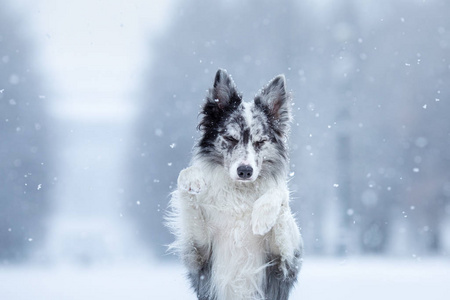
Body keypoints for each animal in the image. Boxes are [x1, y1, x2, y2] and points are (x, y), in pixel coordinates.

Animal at [168, 69, 302, 298]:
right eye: (230, 138)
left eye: (260, 142)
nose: (245, 171)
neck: (239, 192)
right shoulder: (199, 253)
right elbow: (184, 177)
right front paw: (193, 179)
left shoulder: (283, 262)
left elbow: (280, 193)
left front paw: (263, 216)